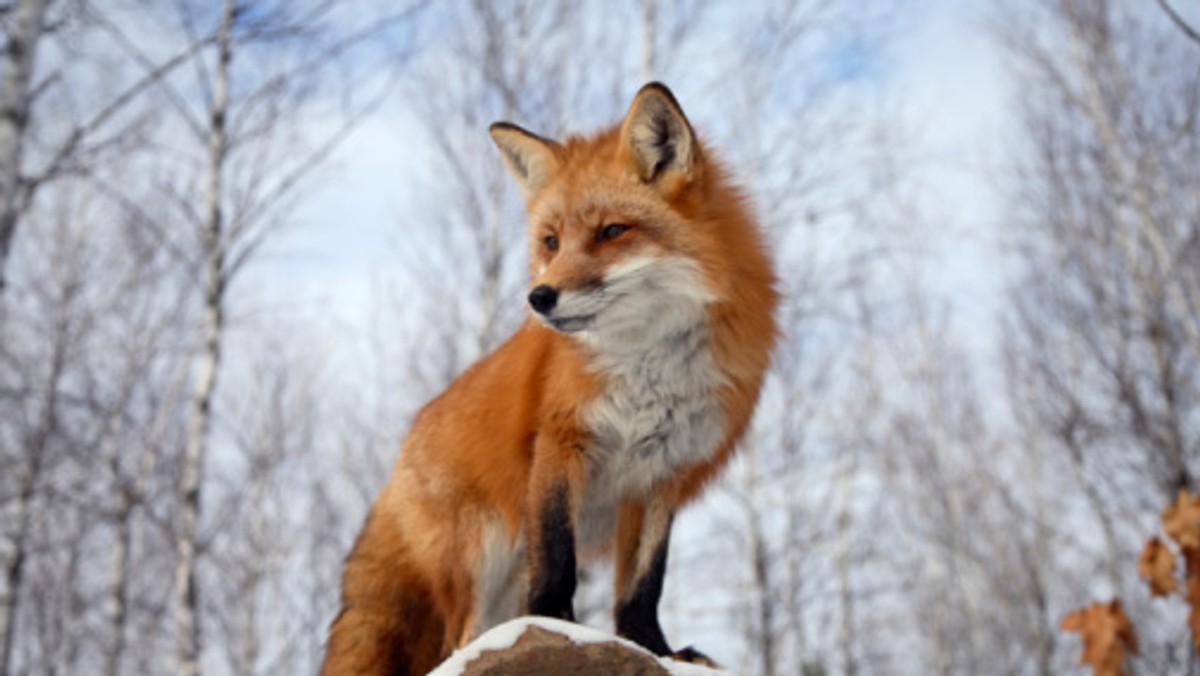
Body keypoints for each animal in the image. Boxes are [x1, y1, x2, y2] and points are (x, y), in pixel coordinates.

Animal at [321, 82, 777, 672]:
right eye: (552, 241)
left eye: (612, 232)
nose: (539, 298)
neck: (648, 370)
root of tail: (400, 459)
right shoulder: (561, 442)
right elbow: (558, 558)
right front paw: (557, 624)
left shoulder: (662, 473)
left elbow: (643, 586)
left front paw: (656, 649)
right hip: (481, 558)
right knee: (457, 642)